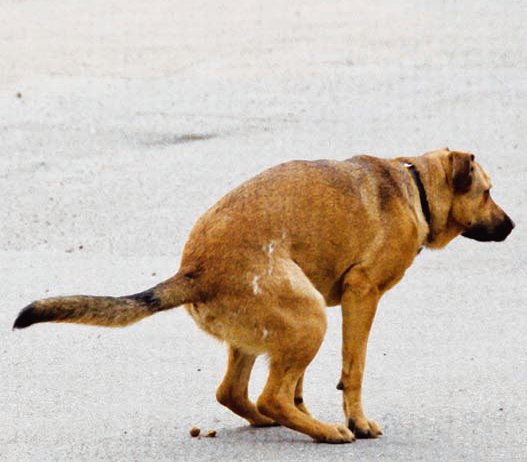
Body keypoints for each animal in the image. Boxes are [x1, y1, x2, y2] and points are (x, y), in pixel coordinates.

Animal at [13, 149, 516, 444]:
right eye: (488, 192)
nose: (512, 227)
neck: (413, 184)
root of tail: (193, 271)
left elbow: (301, 385)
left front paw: (309, 407)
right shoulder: (362, 294)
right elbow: (353, 369)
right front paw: (357, 420)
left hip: (270, 329)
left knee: (236, 392)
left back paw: (280, 419)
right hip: (311, 318)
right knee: (270, 394)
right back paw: (328, 433)